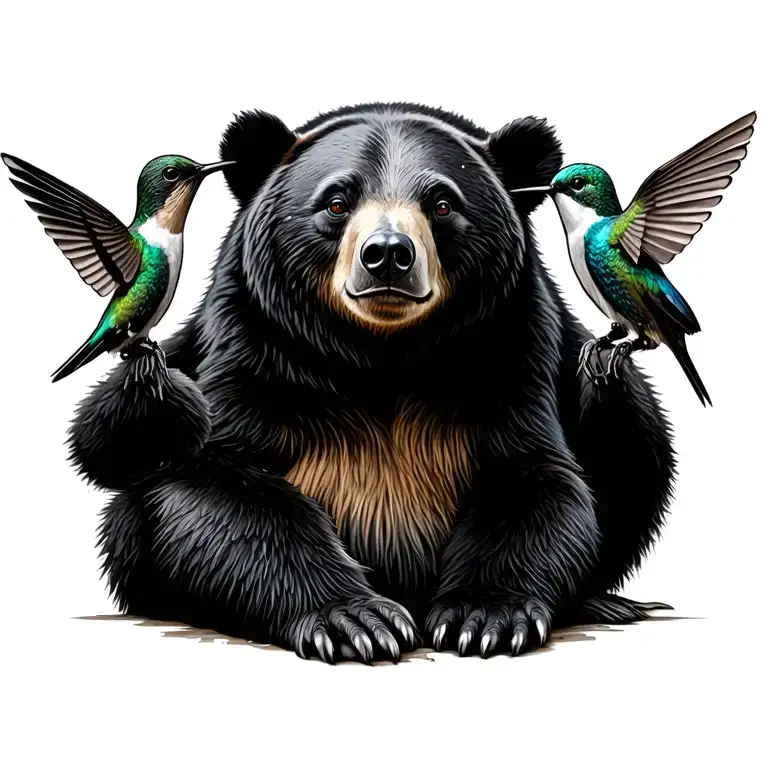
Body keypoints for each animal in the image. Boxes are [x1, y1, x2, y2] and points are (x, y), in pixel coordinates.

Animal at [70, 102, 675, 663]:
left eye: (442, 203)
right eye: (337, 202)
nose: (387, 255)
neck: (380, 356)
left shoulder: (509, 357)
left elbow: (537, 482)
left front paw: (483, 615)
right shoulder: (255, 356)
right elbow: (215, 491)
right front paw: (355, 619)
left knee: (636, 434)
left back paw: (605, 600)